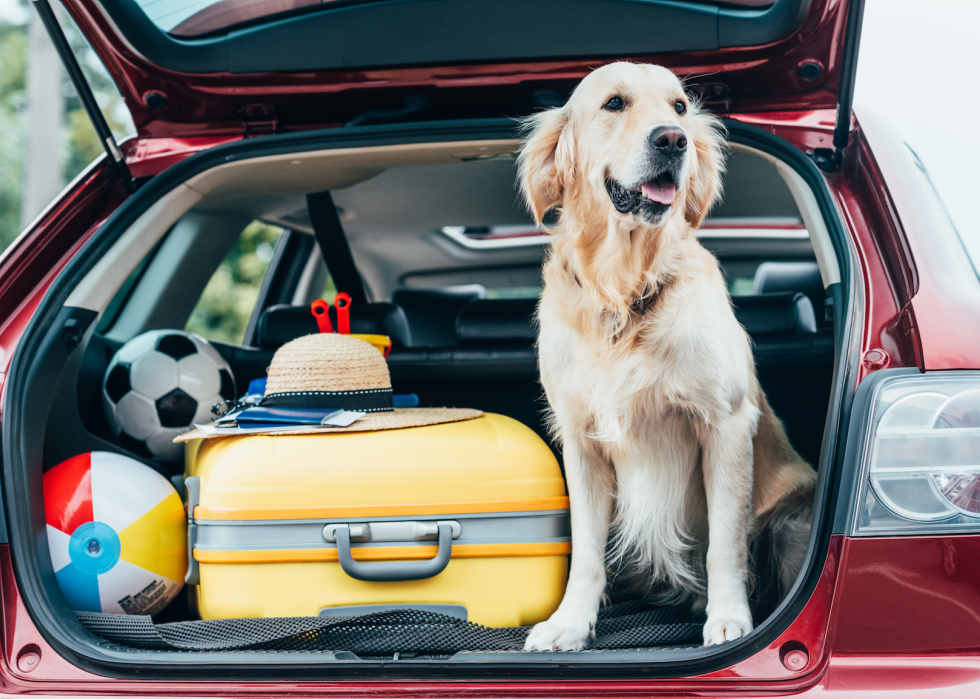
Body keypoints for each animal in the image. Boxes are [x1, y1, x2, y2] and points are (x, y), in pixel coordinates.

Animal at [520, 63, 820, 652]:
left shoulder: (724, 424)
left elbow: (725, 543)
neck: (624, 293)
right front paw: (569, 623)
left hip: (791, 518)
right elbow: (586, 552)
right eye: (614, 103)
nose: (673, 140)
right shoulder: (581, 440)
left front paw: (729, 619)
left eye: (679, 106)